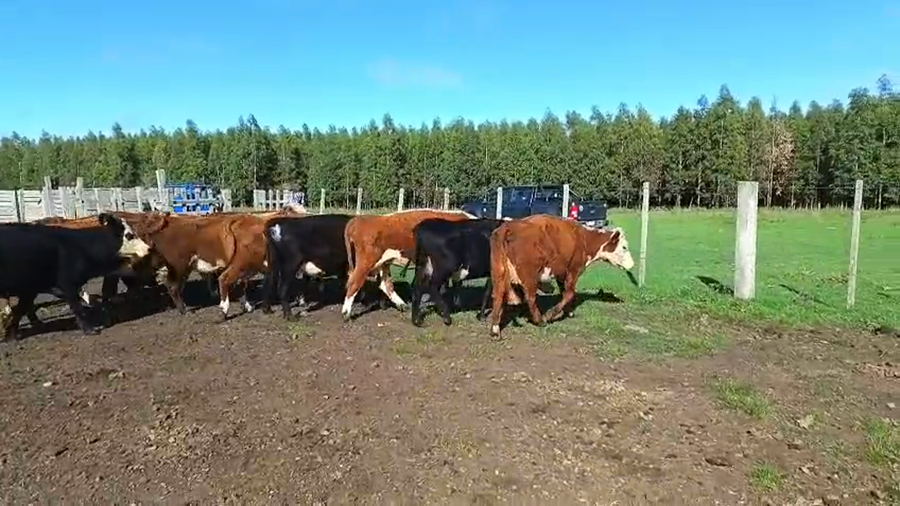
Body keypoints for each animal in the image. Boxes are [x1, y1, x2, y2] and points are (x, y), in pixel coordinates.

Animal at [0, 213, 152, 340]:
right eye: (129, 235)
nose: (148, 249)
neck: (78, 247)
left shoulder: (31, 290)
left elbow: (19, 310)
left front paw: (11, 335)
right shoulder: (67, 285)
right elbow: (79, 309)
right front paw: (90, 330)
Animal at [340, 209, 476, 320]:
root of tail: (359, 219)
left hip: (383, 262)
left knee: (385, 284)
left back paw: (402, 305)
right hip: (366, 261)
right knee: (354, 282)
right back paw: (346, 313)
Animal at [487, 214, 635, 339]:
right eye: (624, 247)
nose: (632, 265)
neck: (584, 239)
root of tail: (509, 226)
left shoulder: (561, 273)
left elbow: (565, 292)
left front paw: (568, 312)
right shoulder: (574, 270)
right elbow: (570, 293)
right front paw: (551, 315)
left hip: (499, 272)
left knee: (498, 296)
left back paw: (495, 329)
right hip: (529, 275)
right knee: (530, 297)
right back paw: (540, 320)